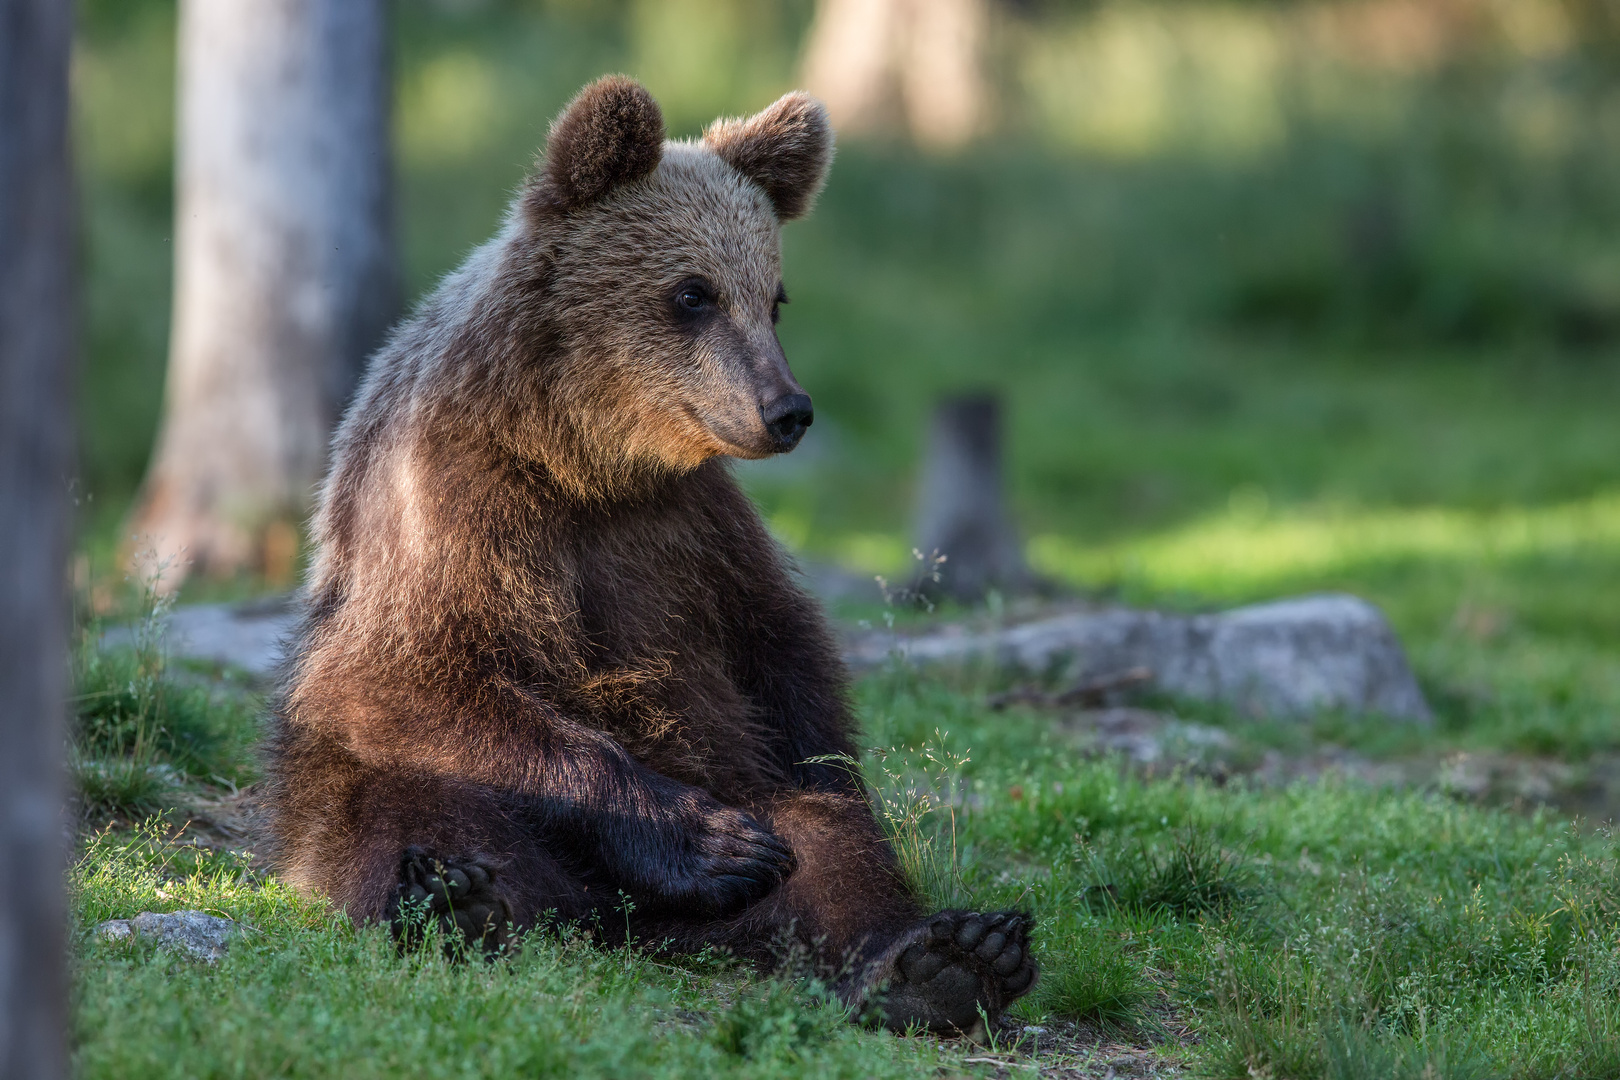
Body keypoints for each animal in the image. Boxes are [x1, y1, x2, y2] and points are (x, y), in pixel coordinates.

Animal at [268, 71, 1036, 1036]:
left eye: (774, 295)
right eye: (693, 292)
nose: (788, 409)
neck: (583, 457)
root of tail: (629, 927)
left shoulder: (691, 532)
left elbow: (788, 664)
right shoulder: (450, 506)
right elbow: (406, 675)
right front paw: (706, 842)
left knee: (826, 847)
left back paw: (944, 959)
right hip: (348, 799)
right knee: (409, 806)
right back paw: (460, 900)